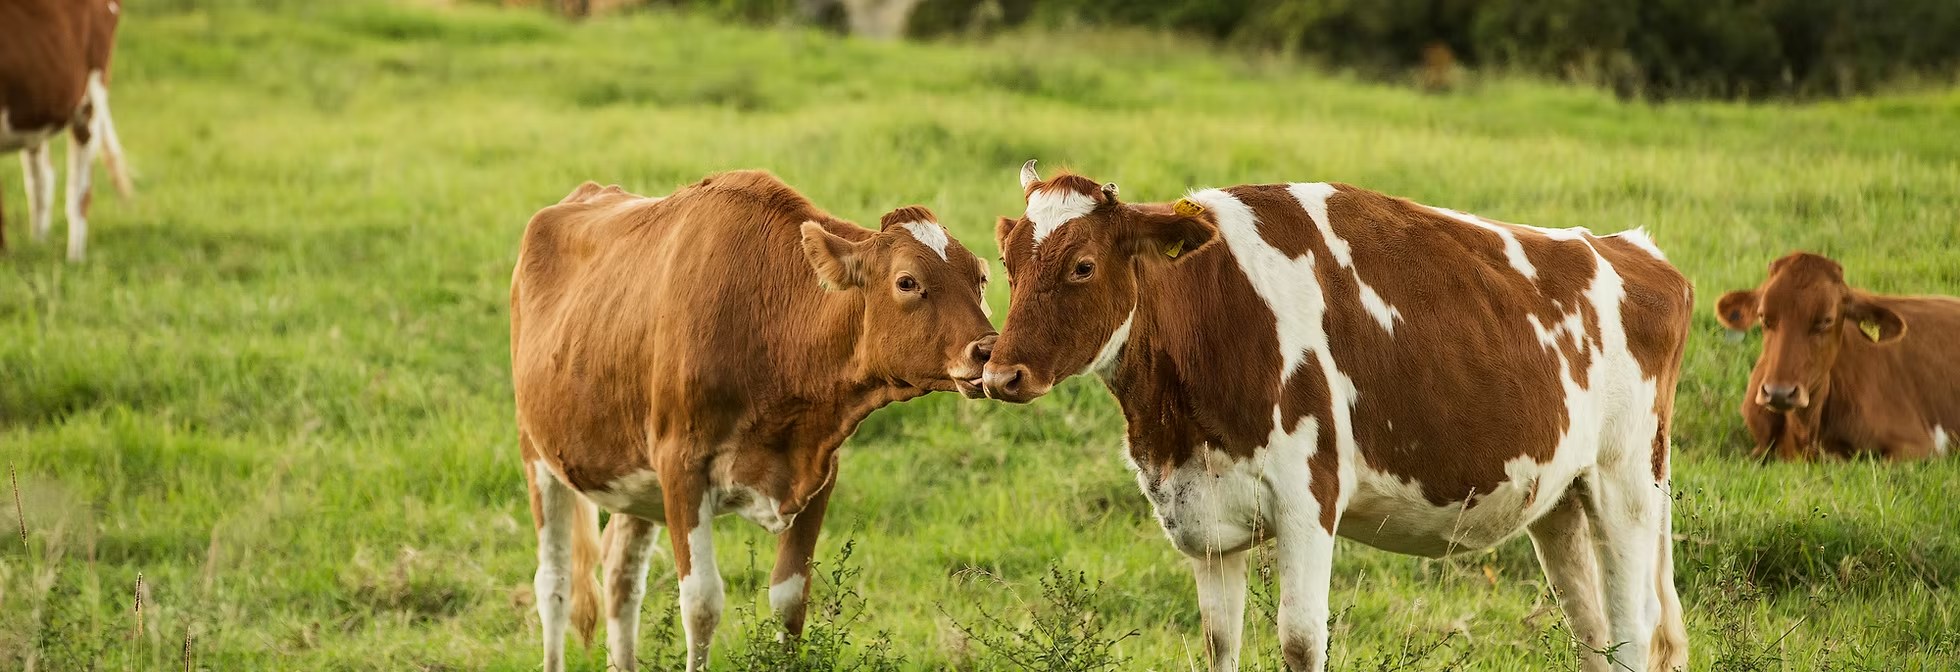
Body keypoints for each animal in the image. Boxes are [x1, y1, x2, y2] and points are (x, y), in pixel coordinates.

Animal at [510, 171, 997, 672]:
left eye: (980, 277)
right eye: (907, 281)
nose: (987, 350)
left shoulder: (821, 468)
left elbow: (789, 599)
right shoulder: (680, 464)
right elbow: (701, 603)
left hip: (634, 476)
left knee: (621, 574)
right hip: (537, 452)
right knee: (554, 583)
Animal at [982, 161, 1692, 672]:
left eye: (1082, 266)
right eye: (1008, 266)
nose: (999, 374)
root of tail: (1632, 249)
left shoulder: (1307, 497)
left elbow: (1300, 642)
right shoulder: (1205, 518)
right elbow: (1219, 642)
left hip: (1626, 483)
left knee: (1634, 633)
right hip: (1561, 497)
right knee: (1594, 634)